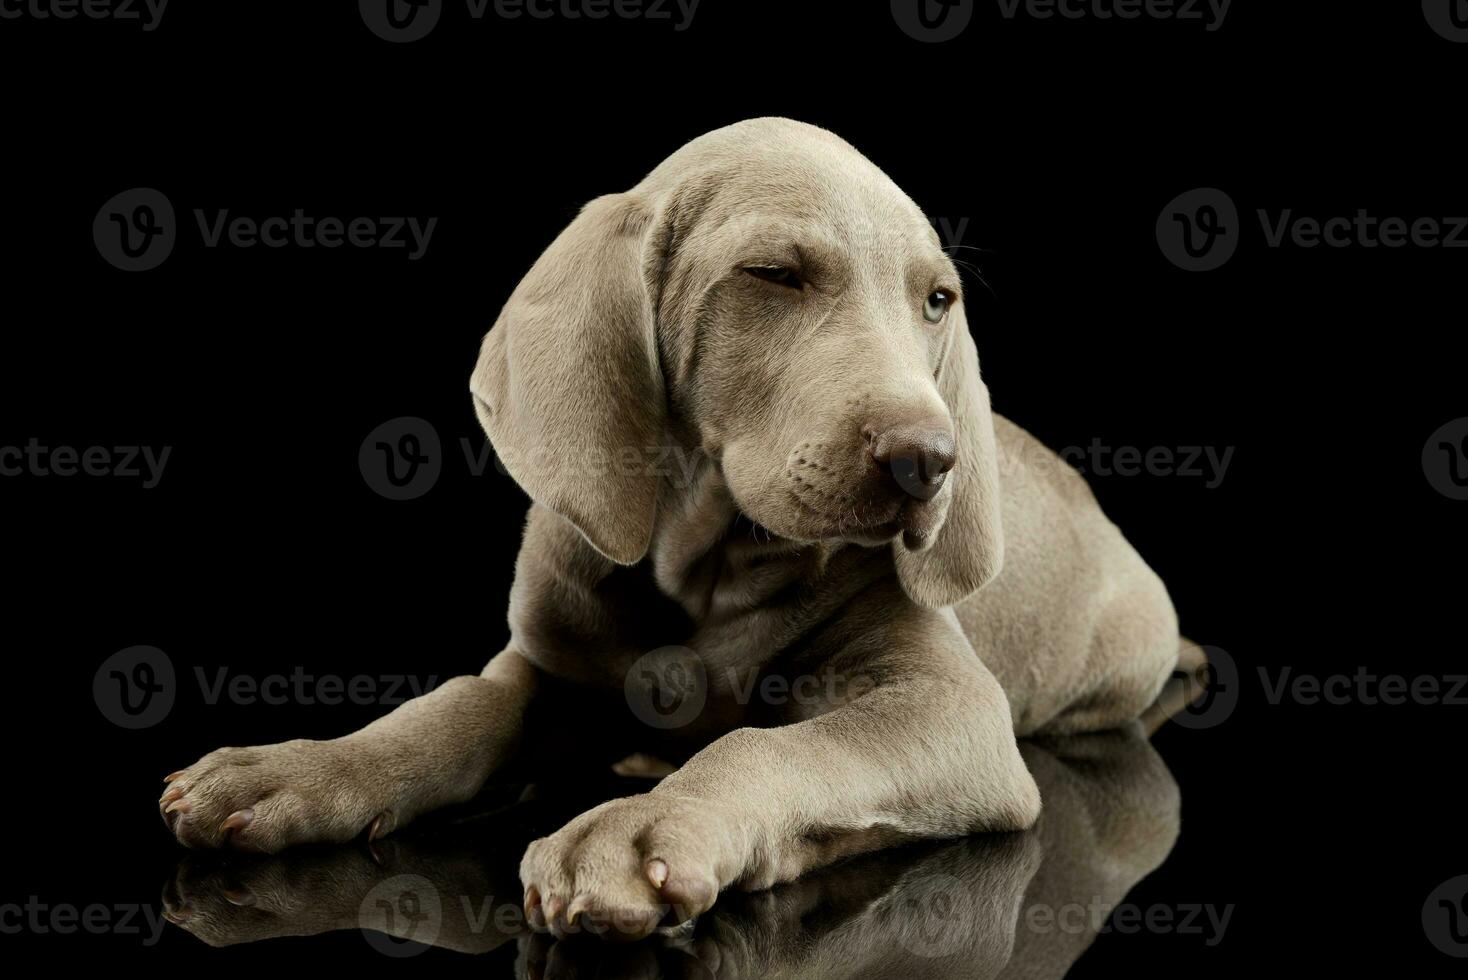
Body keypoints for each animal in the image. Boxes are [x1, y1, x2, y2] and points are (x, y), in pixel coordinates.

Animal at [157, 118, 1192, 944]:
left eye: (936, 301)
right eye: (775, 275)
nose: (928, 462)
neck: (710, 569)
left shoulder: (954, 709)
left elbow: (781, 744)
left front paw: (644, 828)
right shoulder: (547, 662)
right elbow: (454, 706)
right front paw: (296, 770)